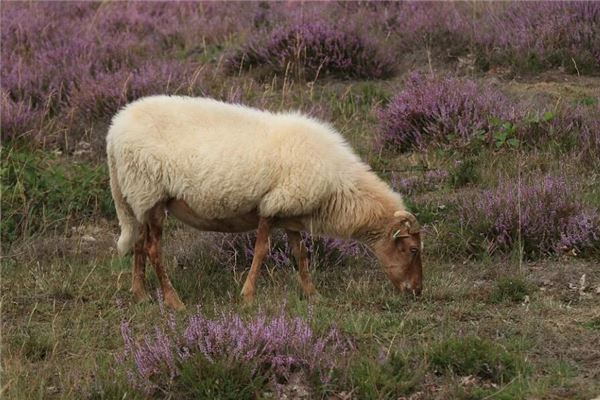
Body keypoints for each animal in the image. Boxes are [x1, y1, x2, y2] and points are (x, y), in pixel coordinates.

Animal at [106, 95, 422, 310]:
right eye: (412, 249)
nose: (417, 292)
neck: (339, 187)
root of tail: (114, 130)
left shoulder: (291, 211)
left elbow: (300, 254)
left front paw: (313, 294)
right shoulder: (272, 206)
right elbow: (262, 251)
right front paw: (247, 296)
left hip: (140, 199)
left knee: (139, 244)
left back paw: (141, 294)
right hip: (150, 193)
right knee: (152, 249)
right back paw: (174, 301)